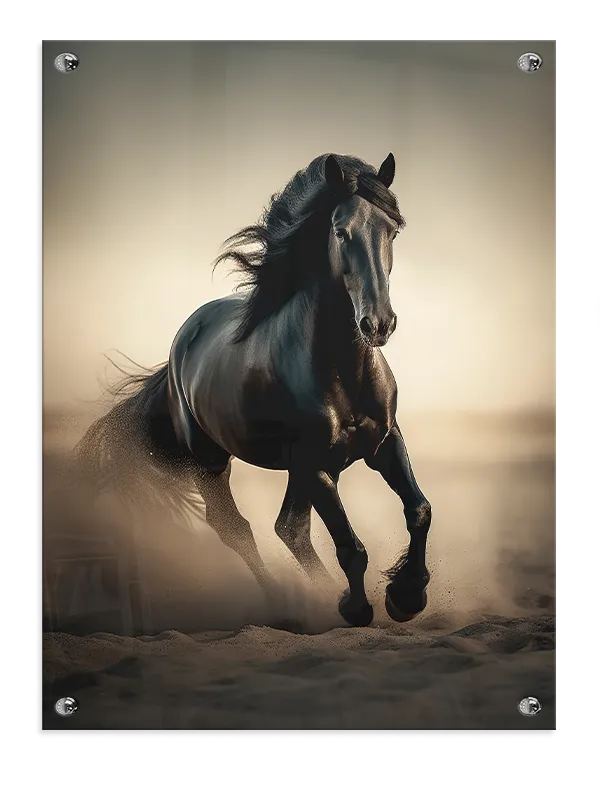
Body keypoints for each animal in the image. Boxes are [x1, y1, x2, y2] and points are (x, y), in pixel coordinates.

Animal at [77, 152, 432, 627]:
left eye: (391, 231)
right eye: (341, 231)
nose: (378, 324)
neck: (343, 371)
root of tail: (178, 352)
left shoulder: (383, 444)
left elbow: (419, 511)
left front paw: (407, 596)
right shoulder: (312, 463)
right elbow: (350, 548)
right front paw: (357, 608)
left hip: (313, 469)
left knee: (289, 528)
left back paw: (319, 595)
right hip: (211, 465)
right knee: (239, 531)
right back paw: (288, 605)